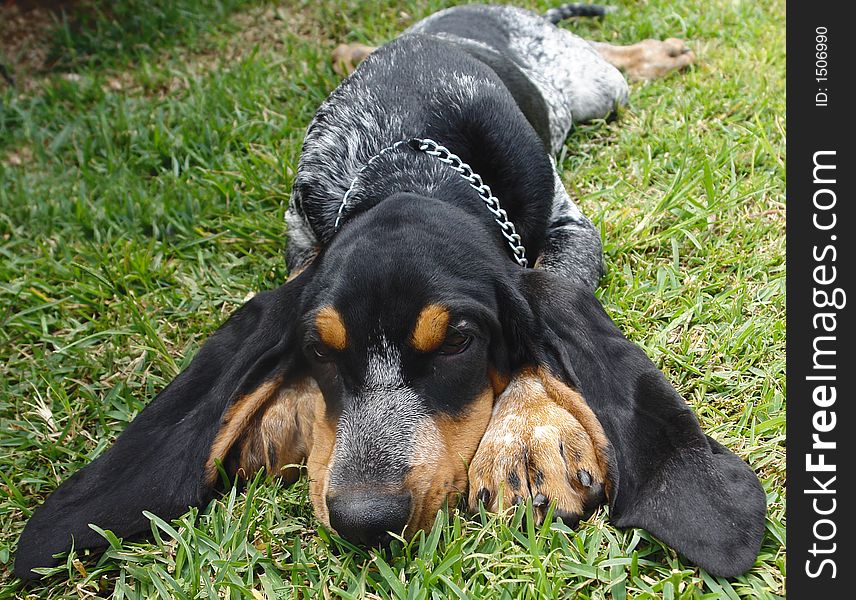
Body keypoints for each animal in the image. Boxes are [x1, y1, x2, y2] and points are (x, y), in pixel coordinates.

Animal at [11, 1, 764, 580]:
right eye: (318, 350)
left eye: (460, 343)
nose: (364, 519)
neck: (411, 159)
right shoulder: (302, 235)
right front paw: (287, 410)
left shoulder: (568, 231)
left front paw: (526, 438)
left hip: (592, 87)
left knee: (602, 58)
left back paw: (659, 51)